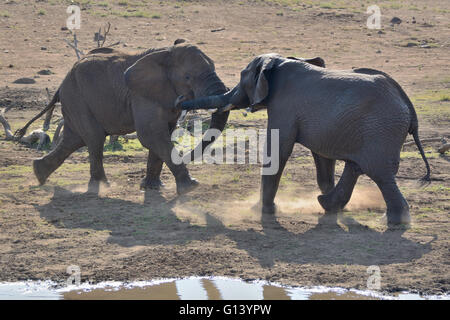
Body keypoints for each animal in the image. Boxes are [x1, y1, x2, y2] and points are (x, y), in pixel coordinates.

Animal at [15, 41, 230, 194]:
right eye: (187, 77)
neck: (165, 53)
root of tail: (61, 83)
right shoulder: (140, 95)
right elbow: (150, 134)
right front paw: (191, 187)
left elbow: (163, 134)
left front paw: (152, 187)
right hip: (76, 97)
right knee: (94, 138)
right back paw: (101, 187)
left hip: (75, 100)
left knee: (73, 139)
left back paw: (39, 172)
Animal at [175, 52, 428, 225]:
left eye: (241, 77)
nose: (179, 100)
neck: (278, 62)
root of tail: (406, 103)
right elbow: (323, 159)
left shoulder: (284, 106)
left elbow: (278, 150)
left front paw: (261, 211)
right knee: (357, 167)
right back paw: (328, 205)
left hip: (381, 130)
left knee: (379, 173)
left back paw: (395, 221)